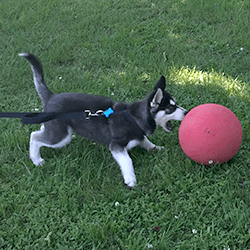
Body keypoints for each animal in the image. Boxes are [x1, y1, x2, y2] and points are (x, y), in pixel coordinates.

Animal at [19, 53, 187, 189]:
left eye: (176, 104)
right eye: (171, 108)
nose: (186, 112)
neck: (133, 118)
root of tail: (51, 97)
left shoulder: (139, 136)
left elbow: (147, 142)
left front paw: (157, 148)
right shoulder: (116, 146)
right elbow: (127, 161)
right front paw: (130, 179)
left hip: (56, 129)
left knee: (40, 131)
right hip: (61, 136)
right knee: (34, 136)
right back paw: (36, 159)